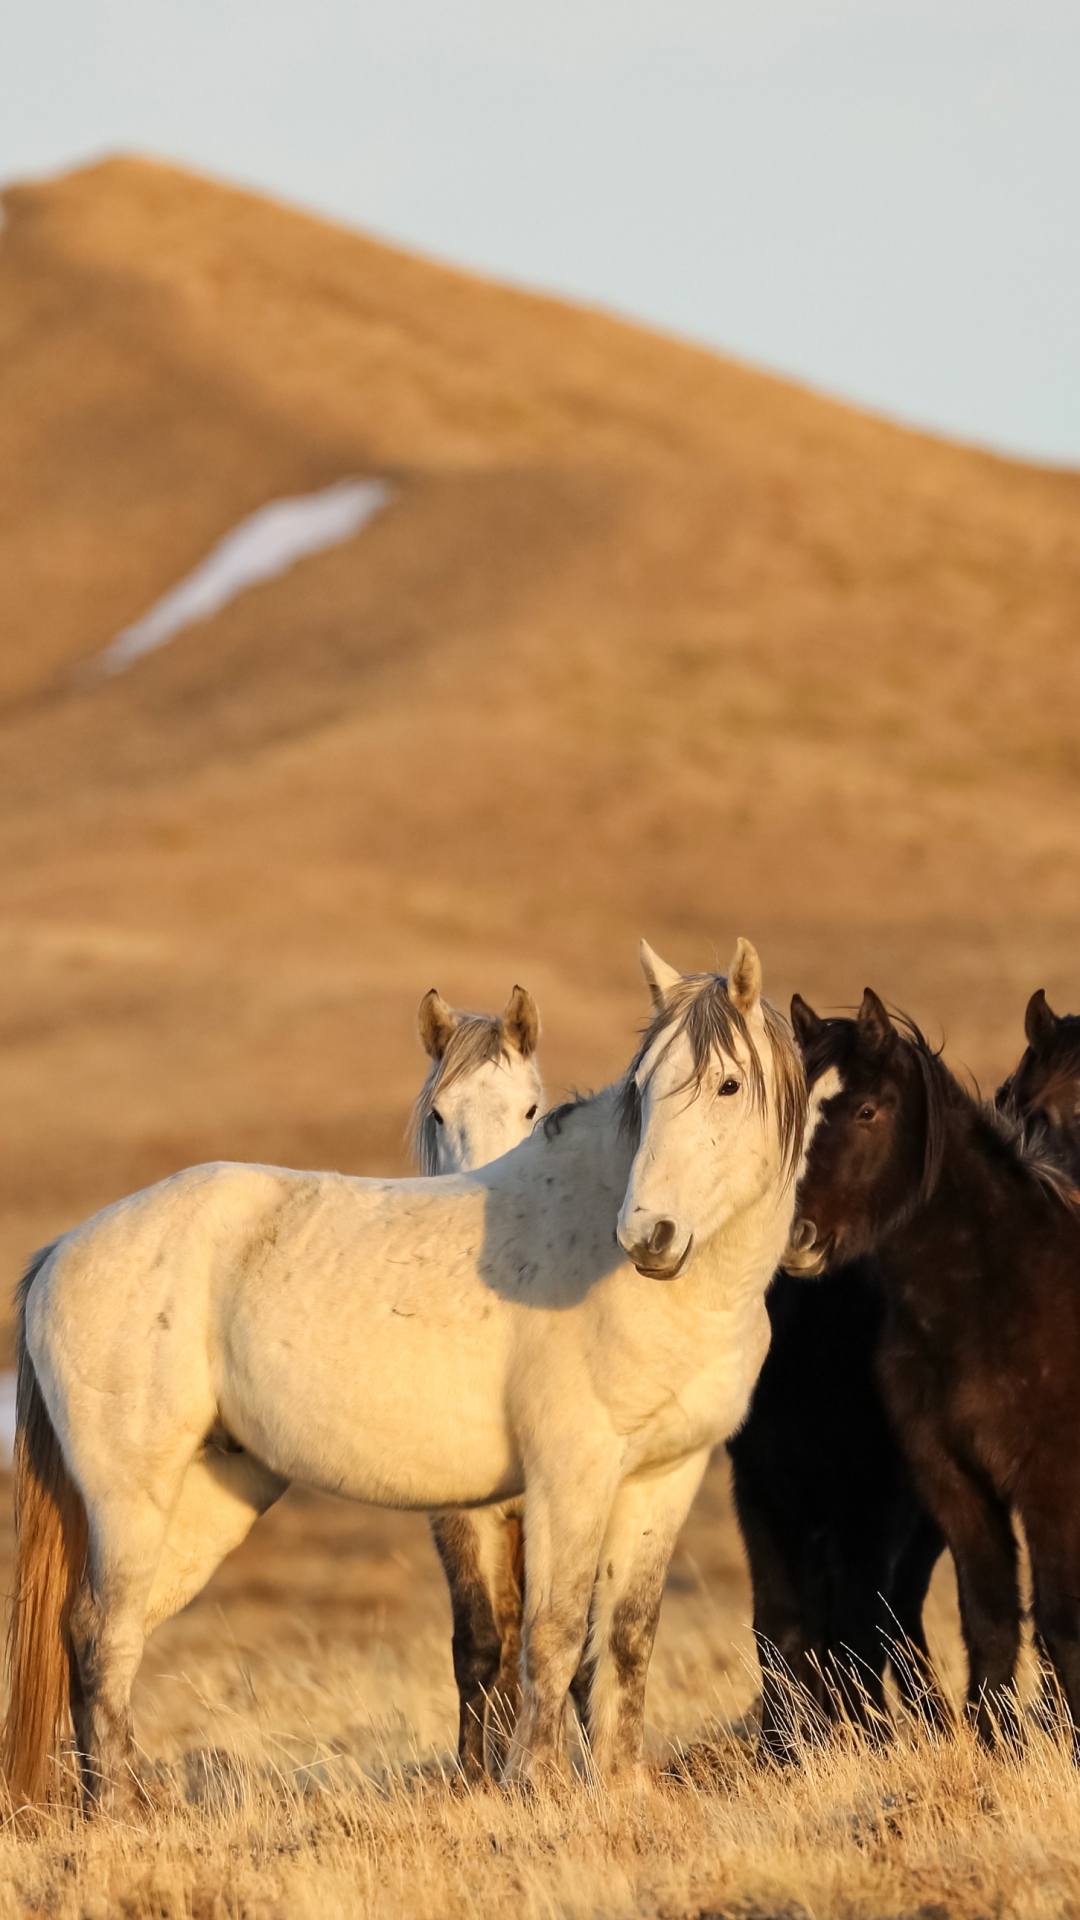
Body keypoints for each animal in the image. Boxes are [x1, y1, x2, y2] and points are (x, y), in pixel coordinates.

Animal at [4, 936, 803, 1804]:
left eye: (728, 1085)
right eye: (643, 1090)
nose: (648, 1235)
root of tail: (61, 1251)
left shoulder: (665, 1476)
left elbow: (625, 1637)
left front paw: (623, 1793)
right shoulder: (569, 1475)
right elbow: (552, 1634)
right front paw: (533, 1787)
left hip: (206, 1501)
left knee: (116, 1633)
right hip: (130, 1499)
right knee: (100, 1635)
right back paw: (118, 1809)